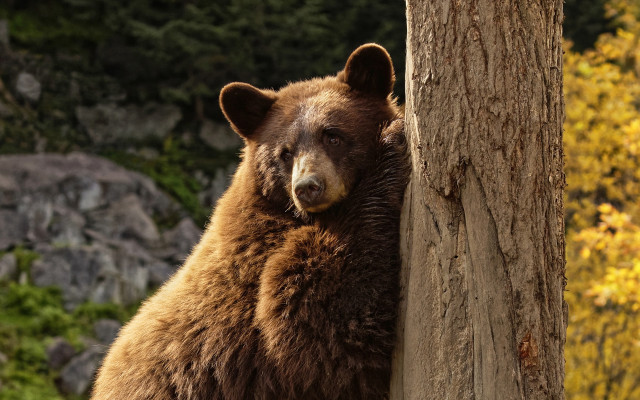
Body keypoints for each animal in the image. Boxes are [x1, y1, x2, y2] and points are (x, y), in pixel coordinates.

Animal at [91, 43, 409, 400]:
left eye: (333, 136)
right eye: (285, 152)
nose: (307, 187)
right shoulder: (253, 272)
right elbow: (317, 329)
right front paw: (390, 148)